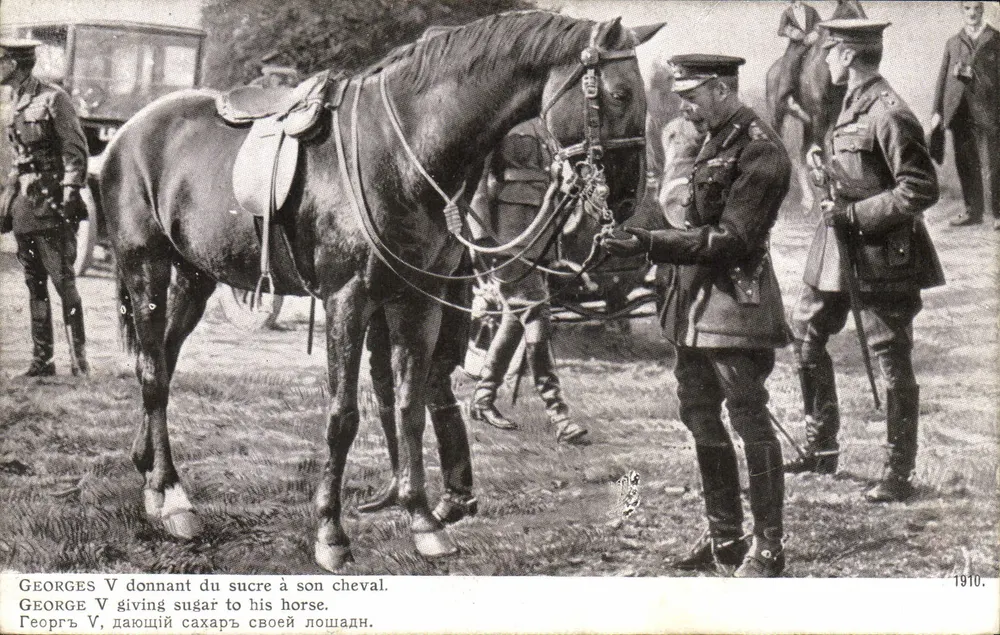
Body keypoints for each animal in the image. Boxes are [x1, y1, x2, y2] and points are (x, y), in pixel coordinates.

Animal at [100, 10, 659, 572]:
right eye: (618, 95)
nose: (628, 198)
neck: (399, 149)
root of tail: (127, 132)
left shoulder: (419, 301)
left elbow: (410, 407)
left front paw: (423, 520)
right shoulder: (348, 299)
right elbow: (343, 415)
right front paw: (330, 532)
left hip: (196, 276)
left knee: (161, 361)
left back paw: (150, 475)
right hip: (145, 267)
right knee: (153, 373)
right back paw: (172, 498)